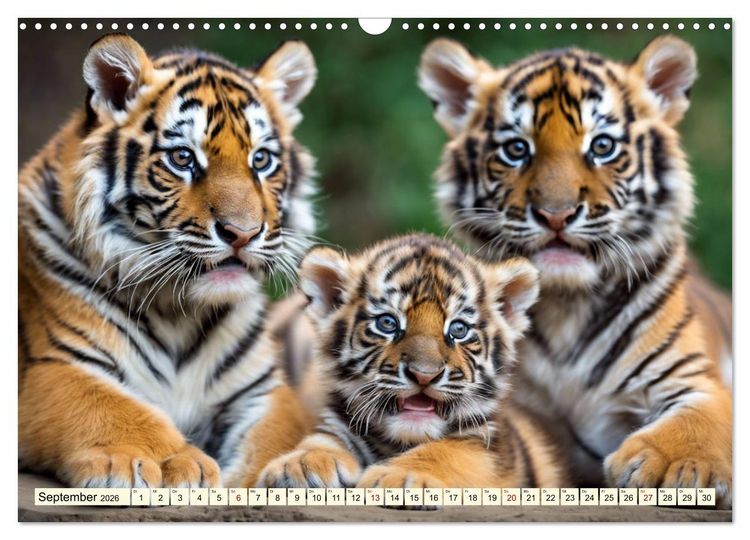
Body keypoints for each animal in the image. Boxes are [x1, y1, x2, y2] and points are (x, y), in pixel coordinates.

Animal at [19, 33, 319, 488]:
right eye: (182, 158)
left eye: (261, 160)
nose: (242, 233)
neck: (179, 312)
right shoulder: (55, 366)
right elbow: (115, 408)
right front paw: (168, 462)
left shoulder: (260, 389)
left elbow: (278, 436)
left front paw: (281, 471)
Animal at [258, 234, 567, 489]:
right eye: (387, 323)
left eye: (458, 329)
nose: (424, 375)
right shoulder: (339, 422)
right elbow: (324, 439)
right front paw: (298, 465)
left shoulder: (490, 448)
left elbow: (448, 451)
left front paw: (398, 476)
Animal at [418, 36, 732, 505]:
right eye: (517, 150)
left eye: (602, 147)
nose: (556, 214)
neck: (566, 307)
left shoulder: (693, 377)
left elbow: (697, 420)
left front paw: (672, 468)